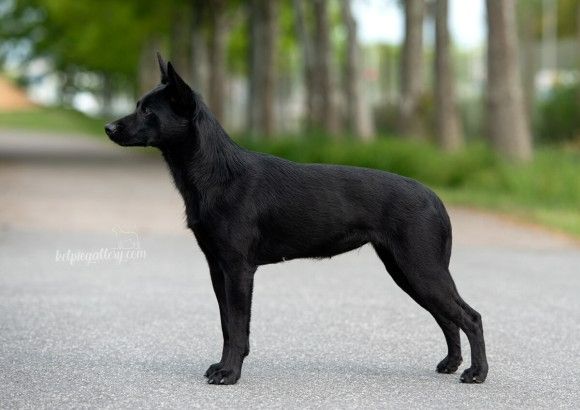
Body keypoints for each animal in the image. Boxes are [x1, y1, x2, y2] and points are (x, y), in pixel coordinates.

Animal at [106, 54, 488, 384]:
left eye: (147, 110)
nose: (109, 127)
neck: (217, 173)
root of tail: (435, 198)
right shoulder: (217, 267)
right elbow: (227, 325)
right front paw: (222, 366)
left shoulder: (238, 269)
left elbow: (237, 325)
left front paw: (229, 373)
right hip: (407, 272)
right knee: (448, 318)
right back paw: (451, 364)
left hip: (421, 269)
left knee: (470, 317)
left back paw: (476, 373)